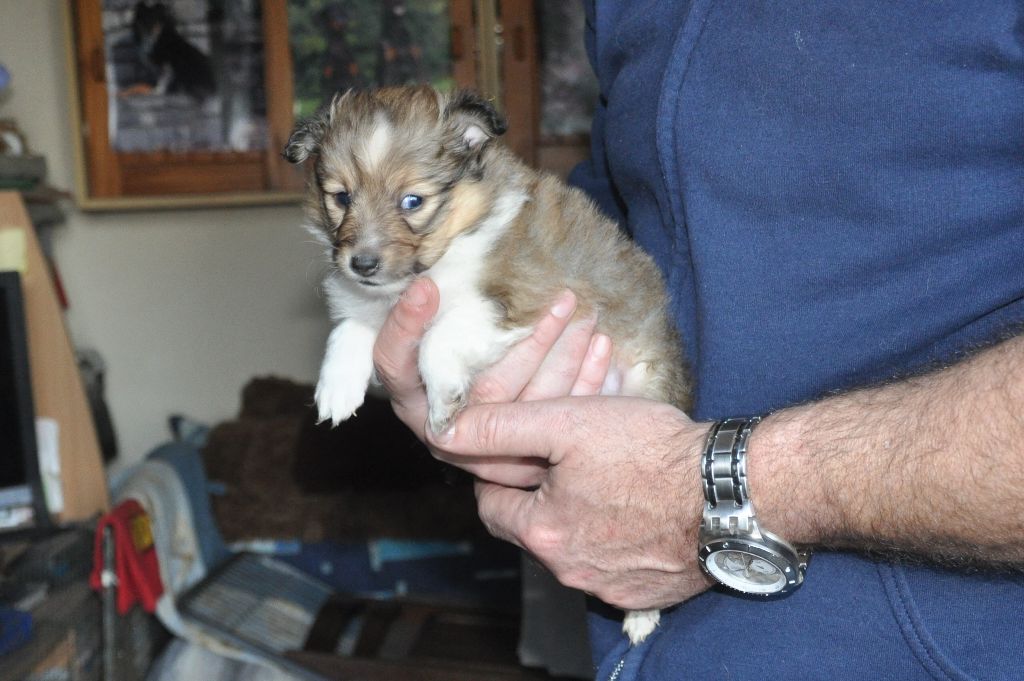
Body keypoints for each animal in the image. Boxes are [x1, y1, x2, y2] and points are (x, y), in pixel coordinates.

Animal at [284, 86, 690, 644]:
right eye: (341, 197)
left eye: (412, 201)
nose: (361, 264)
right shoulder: (371, 306)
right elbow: (349, 328)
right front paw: (337, 389)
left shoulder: (521, 300)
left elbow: (439, 336)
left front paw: (443, 399)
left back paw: (641, 616)